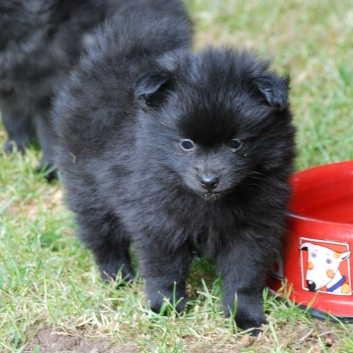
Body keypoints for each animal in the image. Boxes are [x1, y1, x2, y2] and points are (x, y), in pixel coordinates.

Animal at [0, 0, 190, 179]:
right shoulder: (9, 96)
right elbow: (14, 124)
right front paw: (13, 148)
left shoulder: (50, 97)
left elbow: (51, 138)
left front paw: (49, 170)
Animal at [52, 4, 294, 332]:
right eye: (186, 144)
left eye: (236, 143)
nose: (209, 180)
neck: (208, 203)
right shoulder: (157, 222)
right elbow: (164, 269)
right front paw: (166, 307)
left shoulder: (255, 226)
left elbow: (244, 274)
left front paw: (244, 315)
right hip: (86, 185)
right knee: (101, 234)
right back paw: (116, 276)